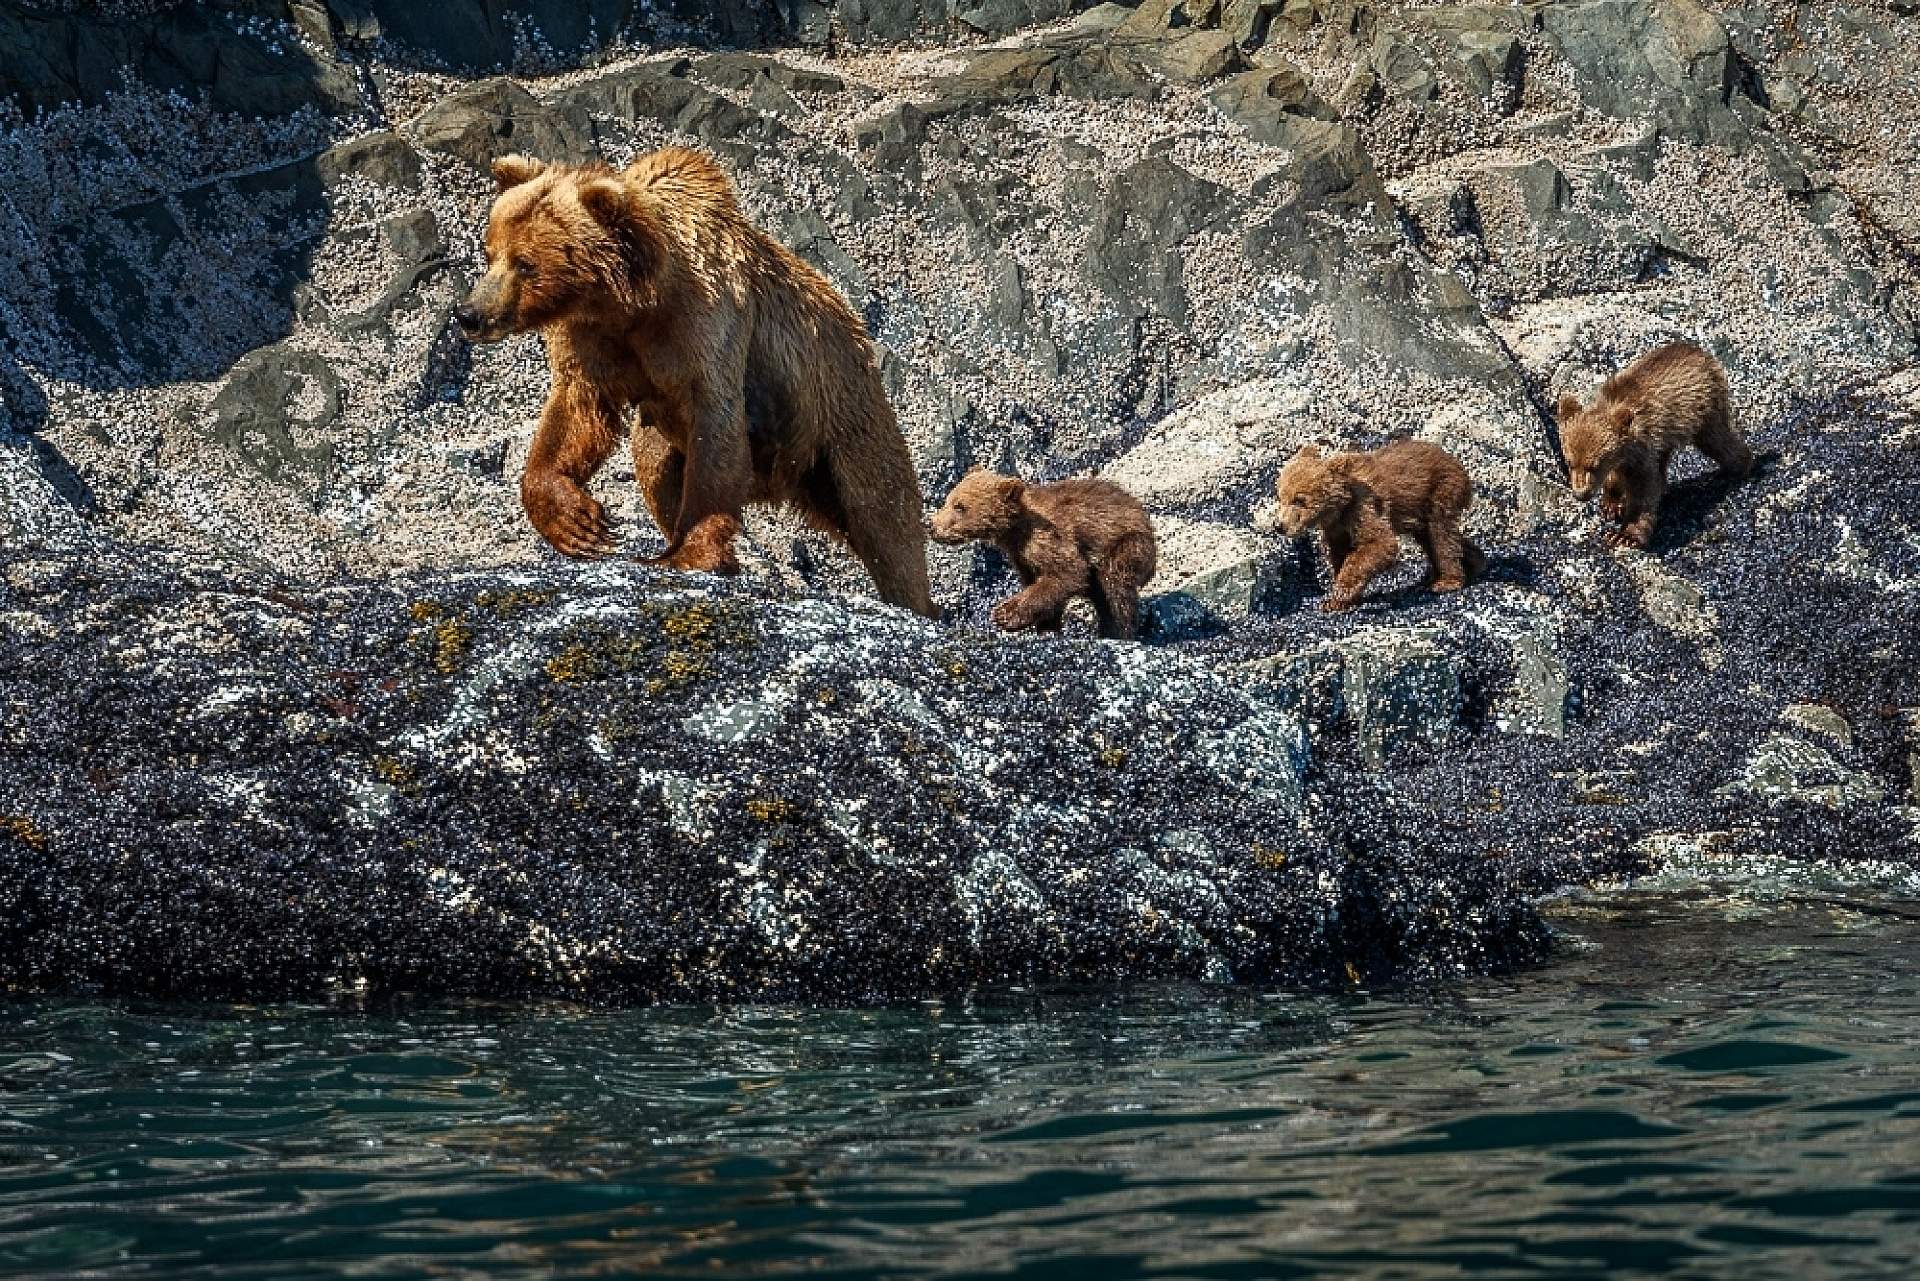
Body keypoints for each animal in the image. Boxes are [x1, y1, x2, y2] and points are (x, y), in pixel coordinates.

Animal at [449, 145, 929, 614]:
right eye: (490, 252)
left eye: (525, 264)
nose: (469, 313)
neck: (634, 304)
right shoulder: (593, 340)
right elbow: (578, 412)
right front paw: (578, 523)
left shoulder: (705, 327)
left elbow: (714, 435)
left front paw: (692, 553)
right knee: (655, 464)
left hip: (842, 417)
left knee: (884, 519)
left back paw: (916, 602)